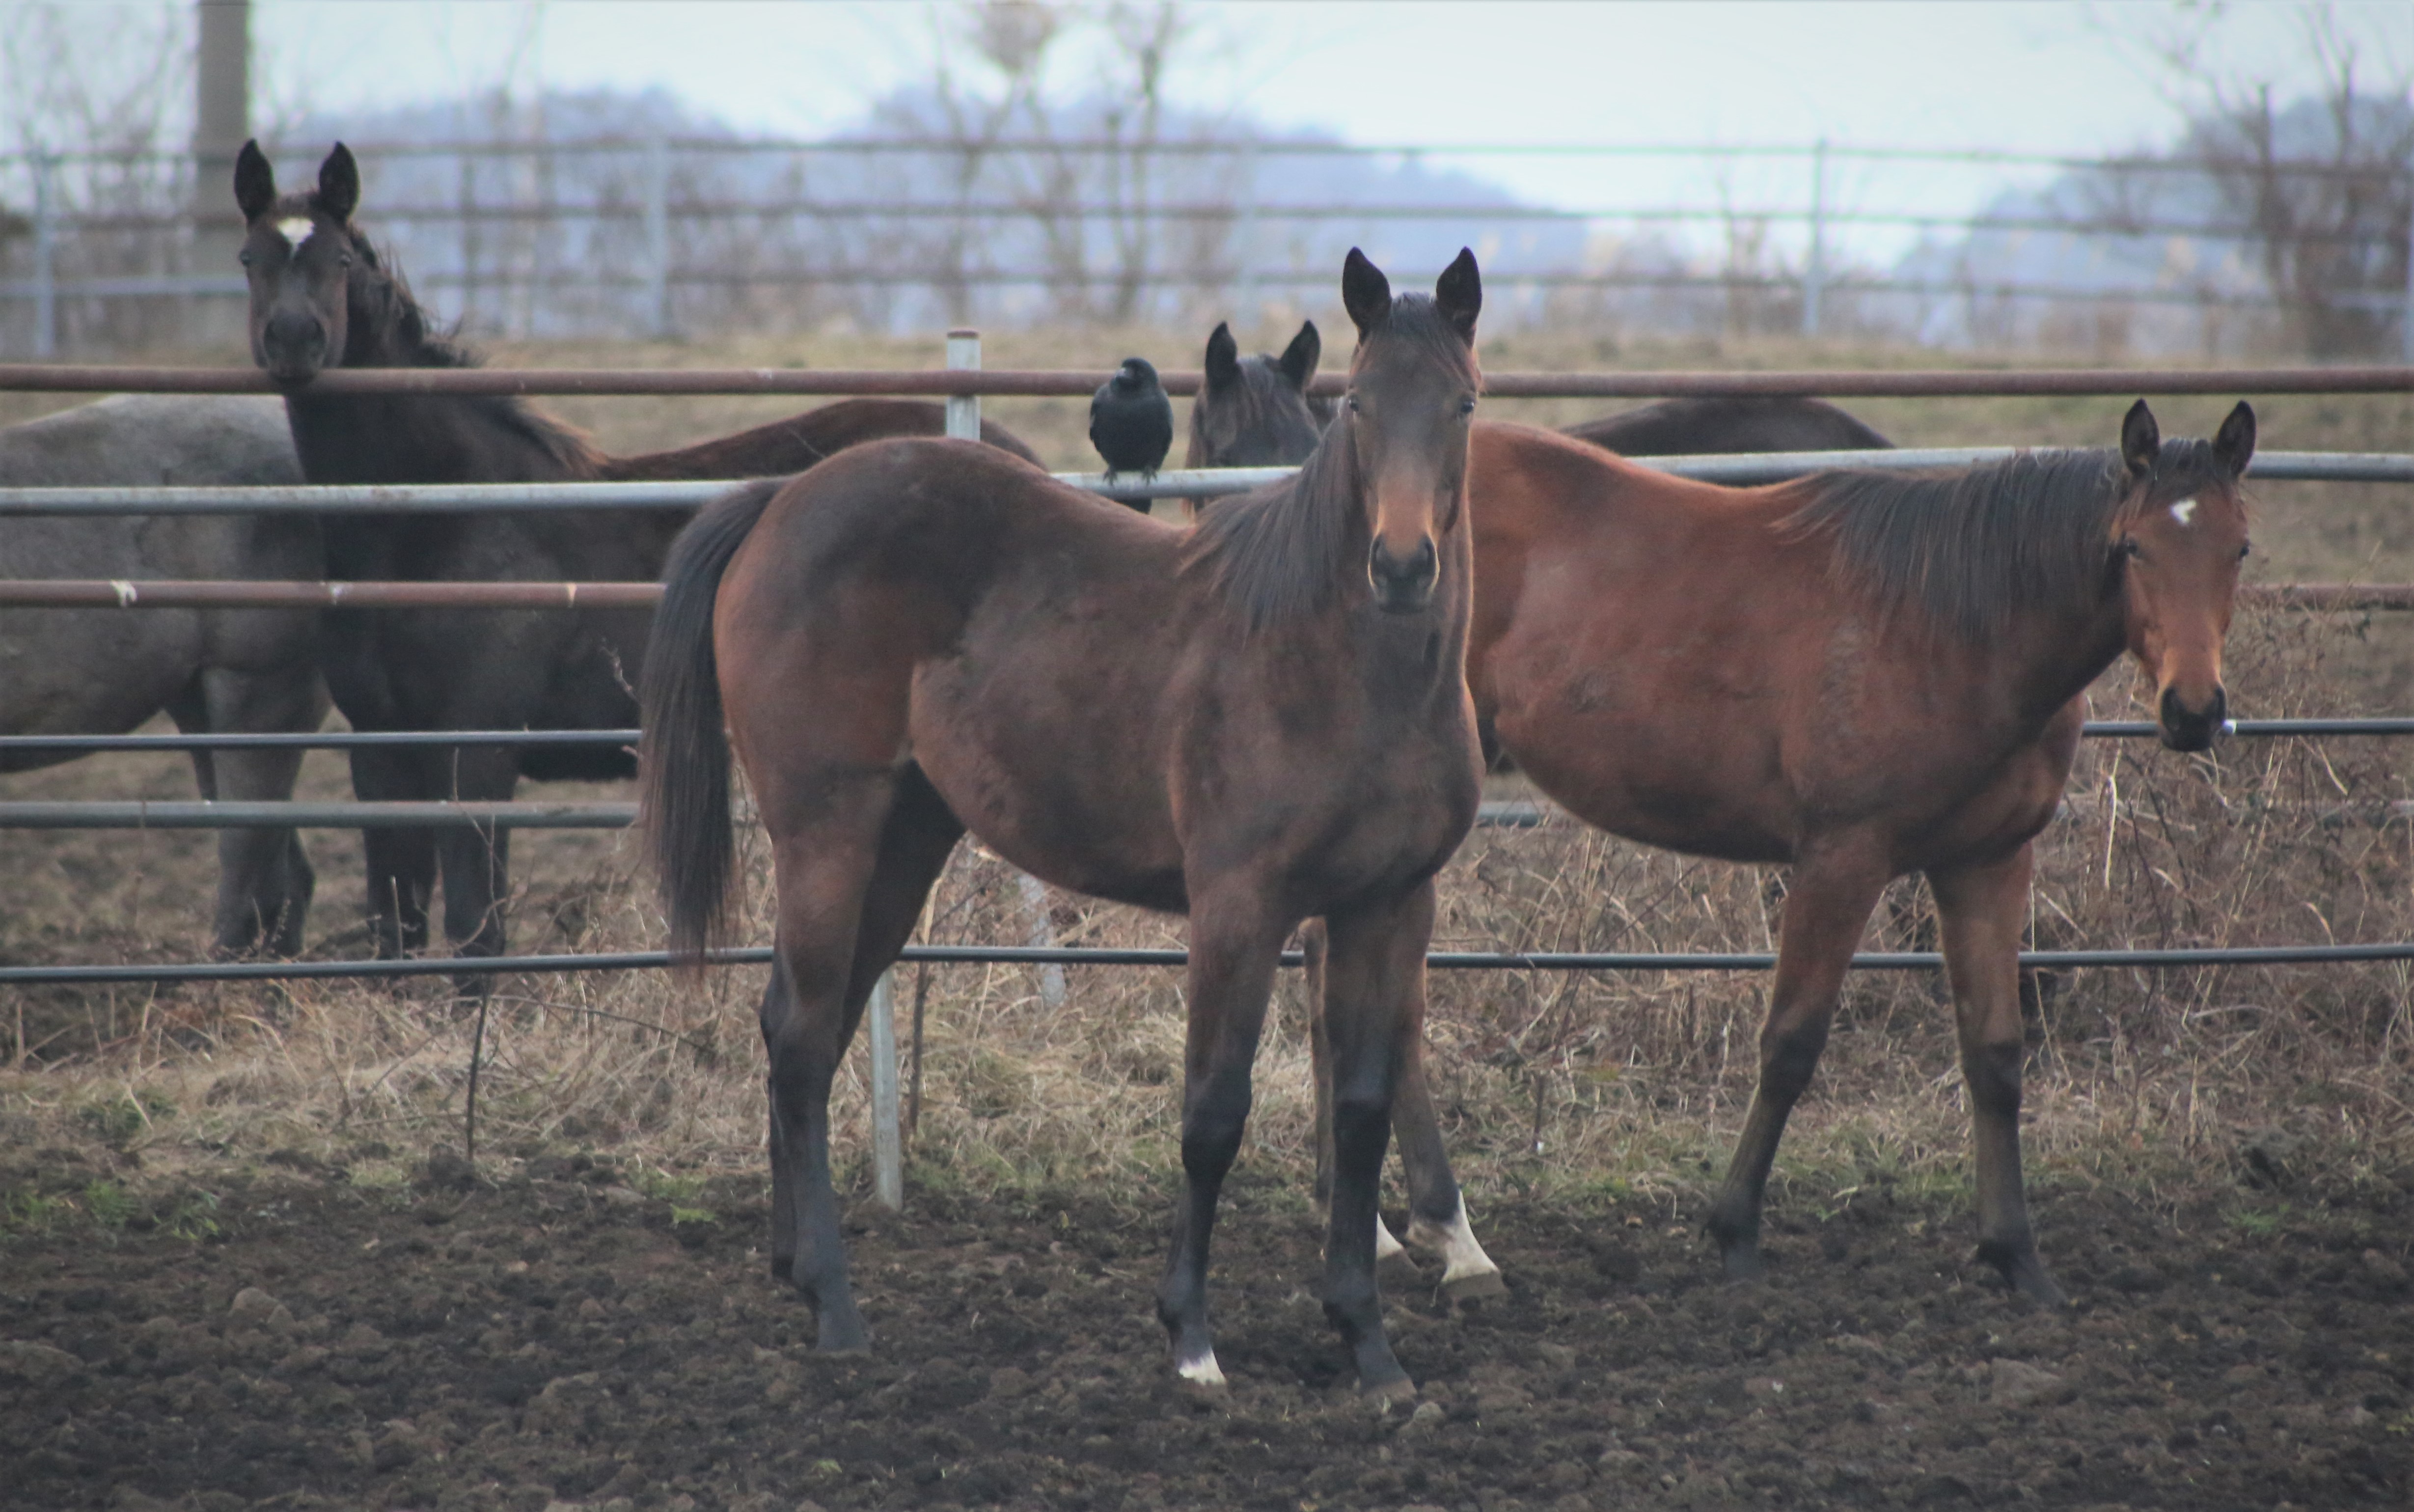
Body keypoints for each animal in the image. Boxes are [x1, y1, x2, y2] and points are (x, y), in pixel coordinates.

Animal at [230, 141, 1042, 966]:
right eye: (248, 257)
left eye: (337, 259)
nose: (292, 341)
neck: (436, 520)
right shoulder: (381, 751)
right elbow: (393, 928)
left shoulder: (478, 749)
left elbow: (477, 931)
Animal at [652, 247, 1496, 1391]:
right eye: (1359, 404)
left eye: (1463, 403)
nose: (1402, 567)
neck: (1333, 662)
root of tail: (781, 502)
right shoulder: (1238, 907)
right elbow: (1213, 1112)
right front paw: (1191, 1339)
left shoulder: (1389, 906)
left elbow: (1362, 1112)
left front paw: (1370, 1348)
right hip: (827, 835)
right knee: (798, 1033)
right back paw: (835, 1304)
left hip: (903, 846)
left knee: (805, 1030)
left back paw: (794, 1267)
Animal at [1342, 403, 2259, 1304]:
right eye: (2134, 546)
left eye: (2240, 547)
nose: (2192, 710)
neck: (1952, 626)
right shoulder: (1840, 858)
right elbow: (1790, 1043)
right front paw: (1736, 1233)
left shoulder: (1988, 862)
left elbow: (1996, 1055)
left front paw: (2017, 1256)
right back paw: (1448, 1238)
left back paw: (1402, 1237)